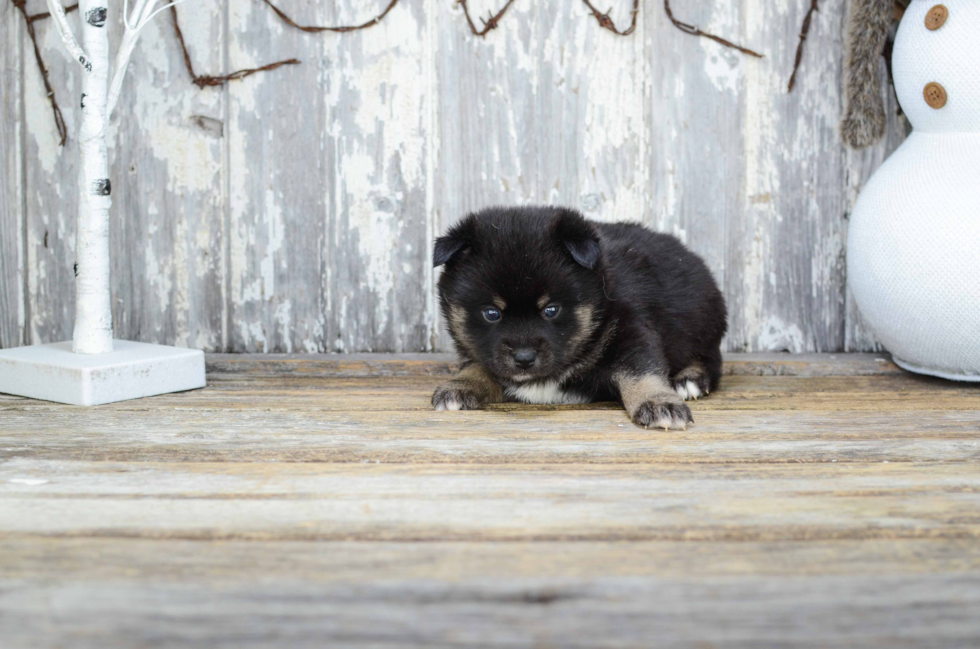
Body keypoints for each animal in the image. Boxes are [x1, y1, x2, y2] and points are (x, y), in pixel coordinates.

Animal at [430, 208, 728, 428]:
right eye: (491, 313)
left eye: (551, 310)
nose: (524, 359)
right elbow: (478, 365)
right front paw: (460, 385)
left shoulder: (630, 330)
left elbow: (642, 372)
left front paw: (658, 403)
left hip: (703, 323)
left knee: (710, 359)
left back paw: (688, 380)